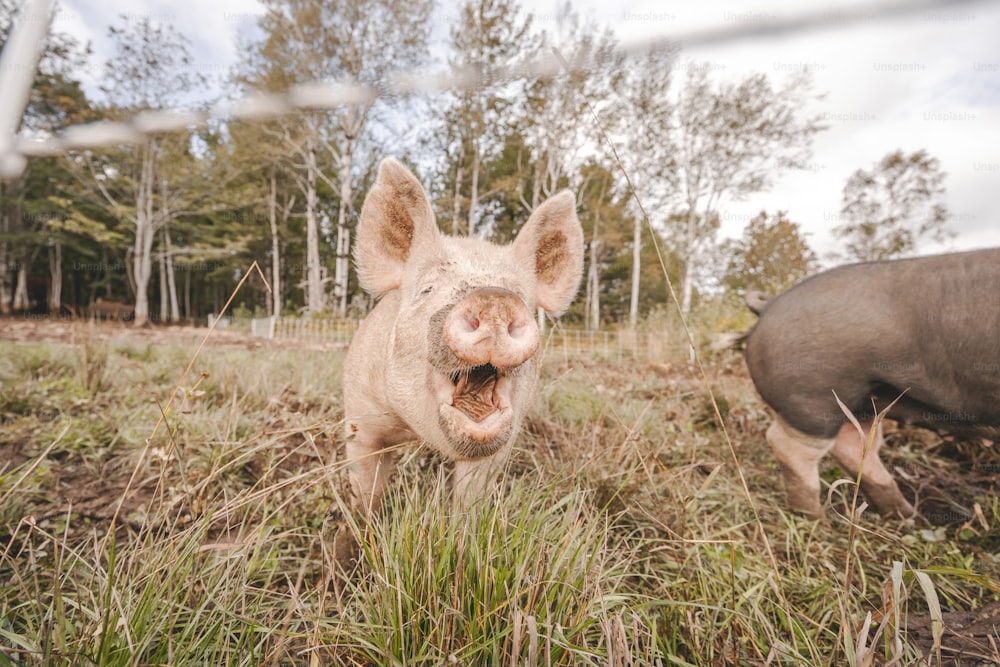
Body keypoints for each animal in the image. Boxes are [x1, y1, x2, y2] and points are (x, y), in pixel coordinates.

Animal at [344, 159, 584, 516]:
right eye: (427, 288)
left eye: (519, 295)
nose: (495, 299)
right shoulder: (359, 417)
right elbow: (365, 487)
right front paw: (364, 524)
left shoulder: (499, 444)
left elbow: (472, 495)